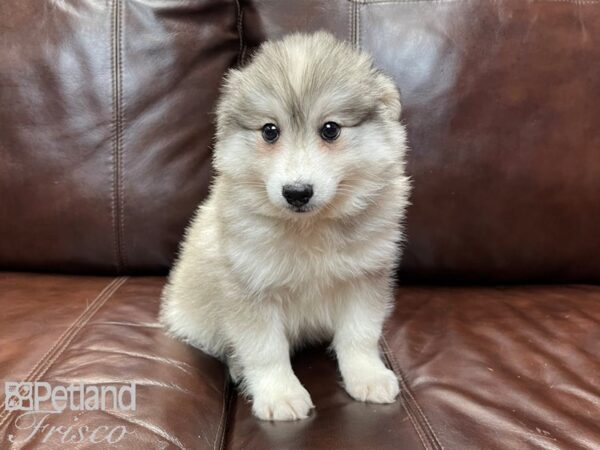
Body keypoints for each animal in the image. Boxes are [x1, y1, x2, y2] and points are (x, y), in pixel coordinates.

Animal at [159, 32, 410, 422]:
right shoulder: (249, 289)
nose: (296, 193)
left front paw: (367, 376)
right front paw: (280, 394)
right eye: (270, 131)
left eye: (330, 129)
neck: (309, 227)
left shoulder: (364, 279)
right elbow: (265, 350)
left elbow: (359, 335)